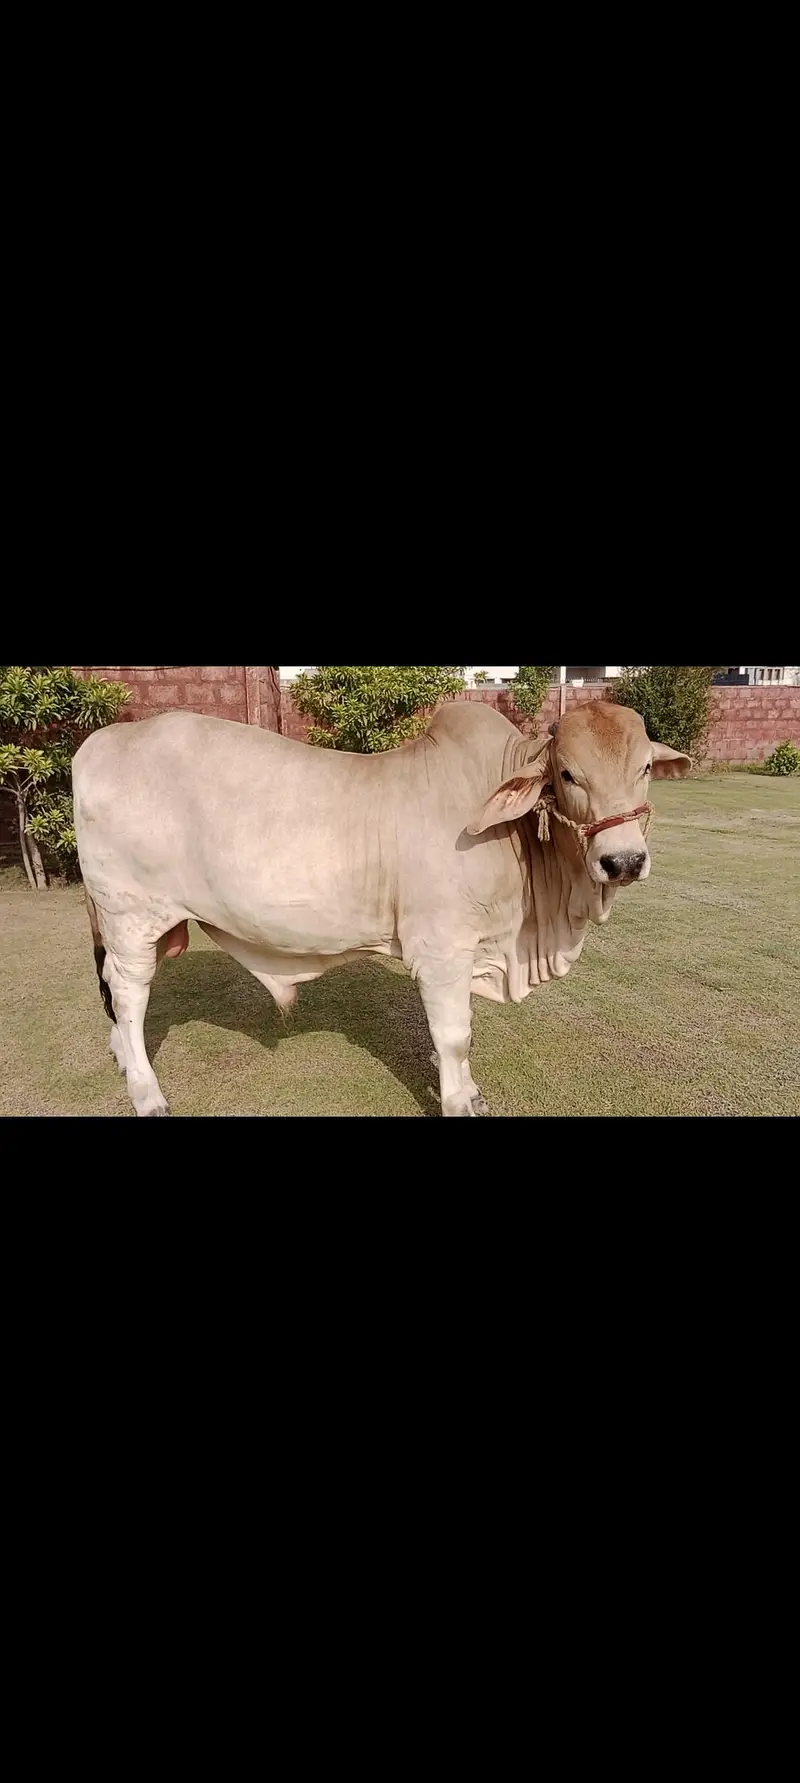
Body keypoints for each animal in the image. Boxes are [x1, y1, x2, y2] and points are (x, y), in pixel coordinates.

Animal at [72, 699, 690, 1116]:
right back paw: (147, 1093)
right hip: (130, 919)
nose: (623, 860)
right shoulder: (441, 950)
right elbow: (454, 1036)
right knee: (128, 996)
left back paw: (124, 1059)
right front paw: (459, 1102)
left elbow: (459, 1040)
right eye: (567, 773)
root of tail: (98, 743)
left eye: (644, 768)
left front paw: (468, 1092)